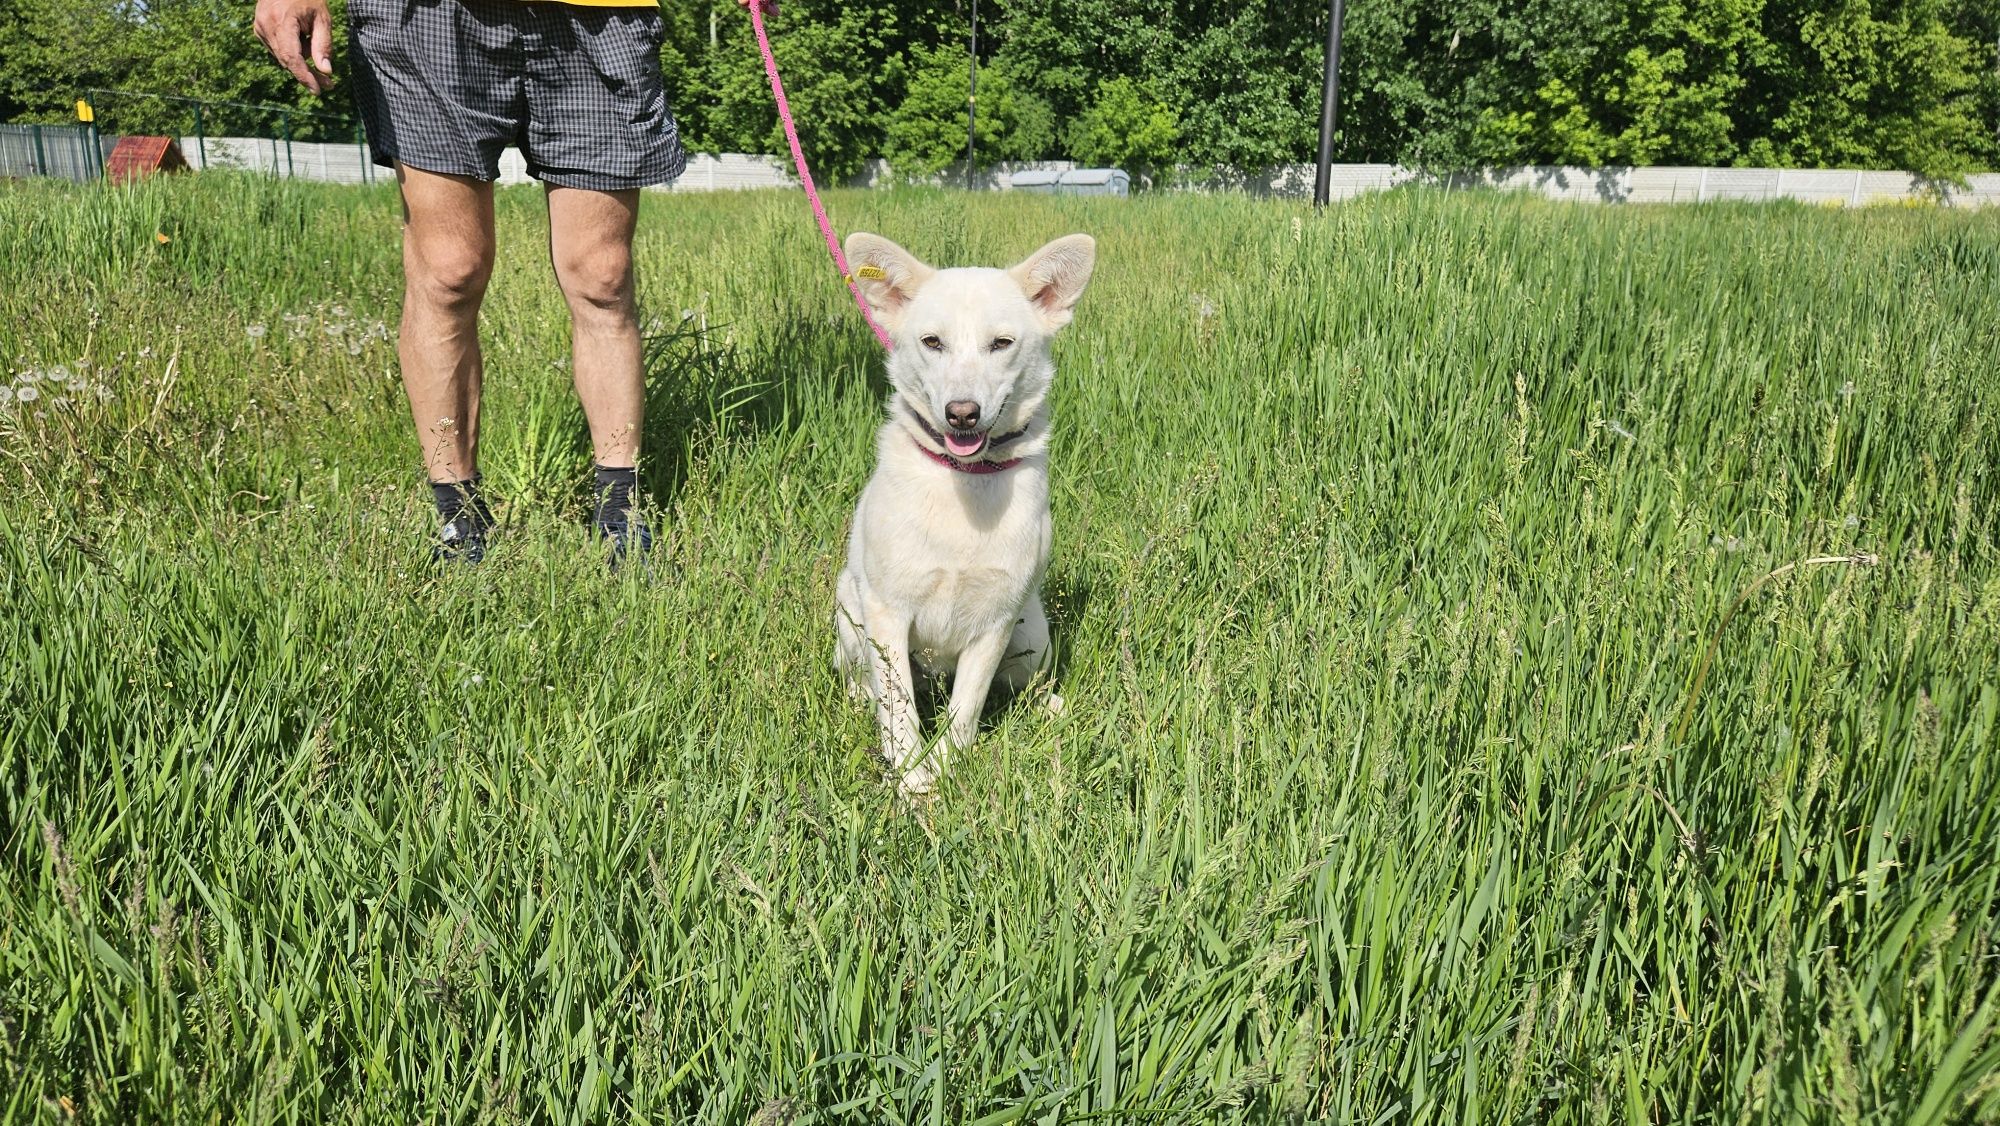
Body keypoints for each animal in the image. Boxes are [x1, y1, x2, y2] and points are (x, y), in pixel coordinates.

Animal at [836, 231, 1104, 792]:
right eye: (932, 342)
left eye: (1001, 343)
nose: (962, 414)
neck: (964, 483)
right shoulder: (888, 613)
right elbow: (899, 710)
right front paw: (913, 782)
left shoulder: (995, 622)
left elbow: (966, 709)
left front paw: (945, 768)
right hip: (850, 610)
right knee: (867, 682)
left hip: (1032, 636)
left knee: (1019, 687)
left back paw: (1049, 705)